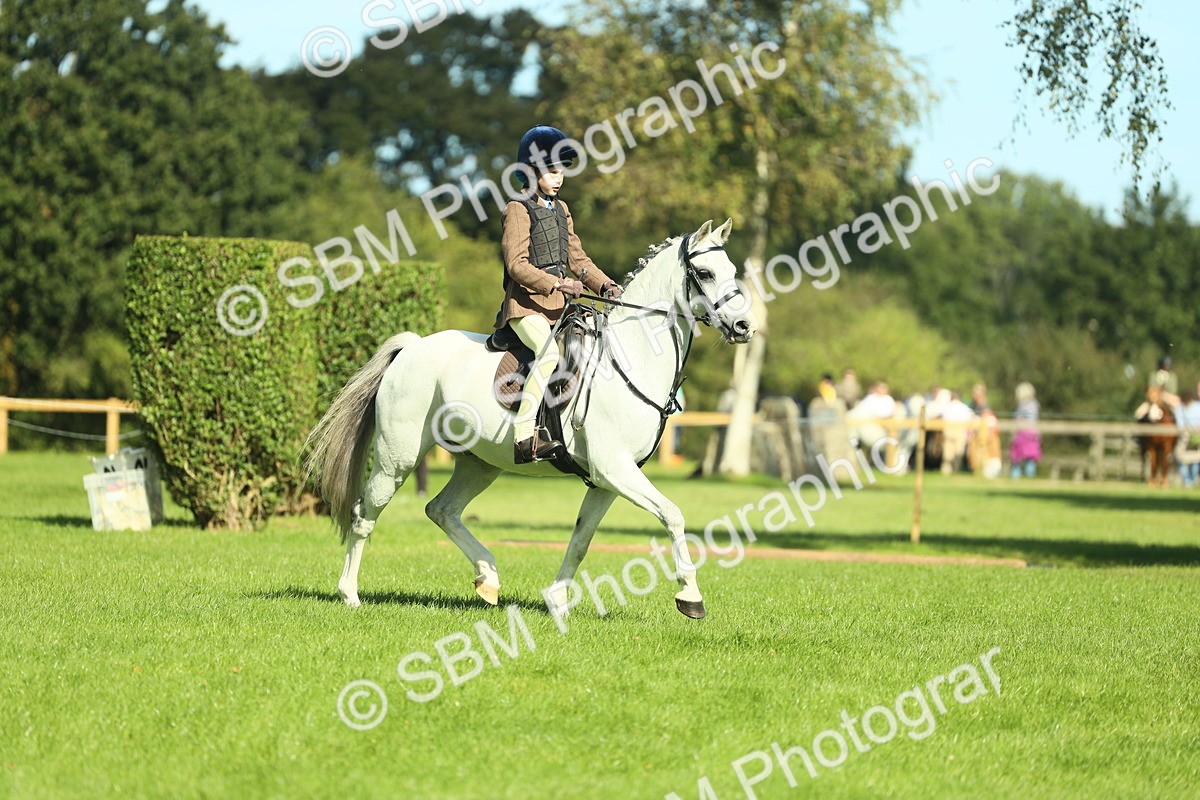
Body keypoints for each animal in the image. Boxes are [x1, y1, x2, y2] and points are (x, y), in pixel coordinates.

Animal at [305, 219, 756, 619]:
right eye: (704, 273)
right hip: (396, 460)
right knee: (364, 516)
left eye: (733, 271)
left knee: (441, 510)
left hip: (479, 464)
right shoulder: (615, 469)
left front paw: (557, 601)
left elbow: (582, 539)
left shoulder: (607, 480)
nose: (744, 326)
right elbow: (673, 515)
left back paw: (488, 578)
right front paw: (690, 597)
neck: (631, 357)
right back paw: (350, 595)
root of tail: (413, 347)